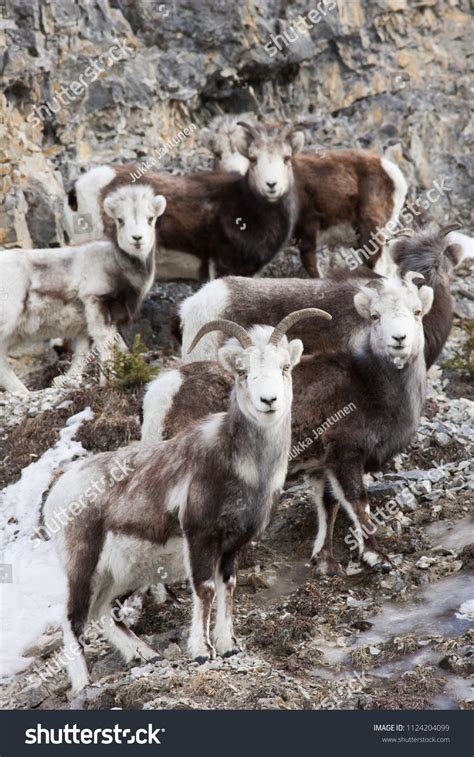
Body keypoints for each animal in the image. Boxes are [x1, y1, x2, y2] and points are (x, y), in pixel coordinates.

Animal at [0, 185, 167, 396]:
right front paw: (108, 381)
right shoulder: (96, 303)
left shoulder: (85, 327)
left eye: (150, 218)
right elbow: (105, 344)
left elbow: (83, 355)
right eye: (120, 220)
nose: (137, 239)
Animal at [46, 308, 332, 692]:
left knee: (102, 611)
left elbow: (228, 587)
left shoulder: (234, 545)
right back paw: (84, 685)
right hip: (82, 564)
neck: (243, 469)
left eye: (285, 367)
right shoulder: (200, 537)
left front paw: (228, 647)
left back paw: (146, 656)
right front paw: (201, 652)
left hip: (117, 574)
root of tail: (58, 494)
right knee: (72, 619)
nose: (268, 401)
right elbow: (205, 589)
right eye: (243, 371)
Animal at [141, 274, 434, 576]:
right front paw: (378, 557)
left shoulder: (322, 467)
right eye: (375, 315)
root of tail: (163, 391)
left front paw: (325, 562)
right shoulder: (346, 456)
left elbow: (328, 506)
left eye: (417, 312)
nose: (399, 339)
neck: (370, 385)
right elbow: (358, 503)